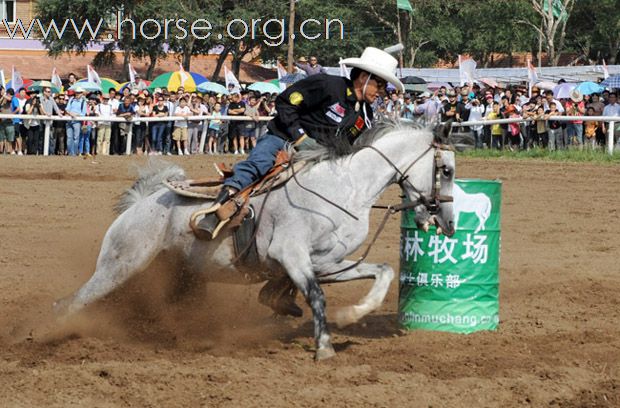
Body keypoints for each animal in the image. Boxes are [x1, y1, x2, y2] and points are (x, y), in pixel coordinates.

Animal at [54, 121, 456, 360]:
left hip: (177, 275)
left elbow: (382, 271)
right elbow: (316, 296)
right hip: (120, 264)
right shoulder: (292, 255)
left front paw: (350, 315)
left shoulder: (327, 262)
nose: (449, 223)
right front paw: (324, 347)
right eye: (447, 170)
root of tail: (142, 203)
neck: (342, 188)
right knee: (73, 301)